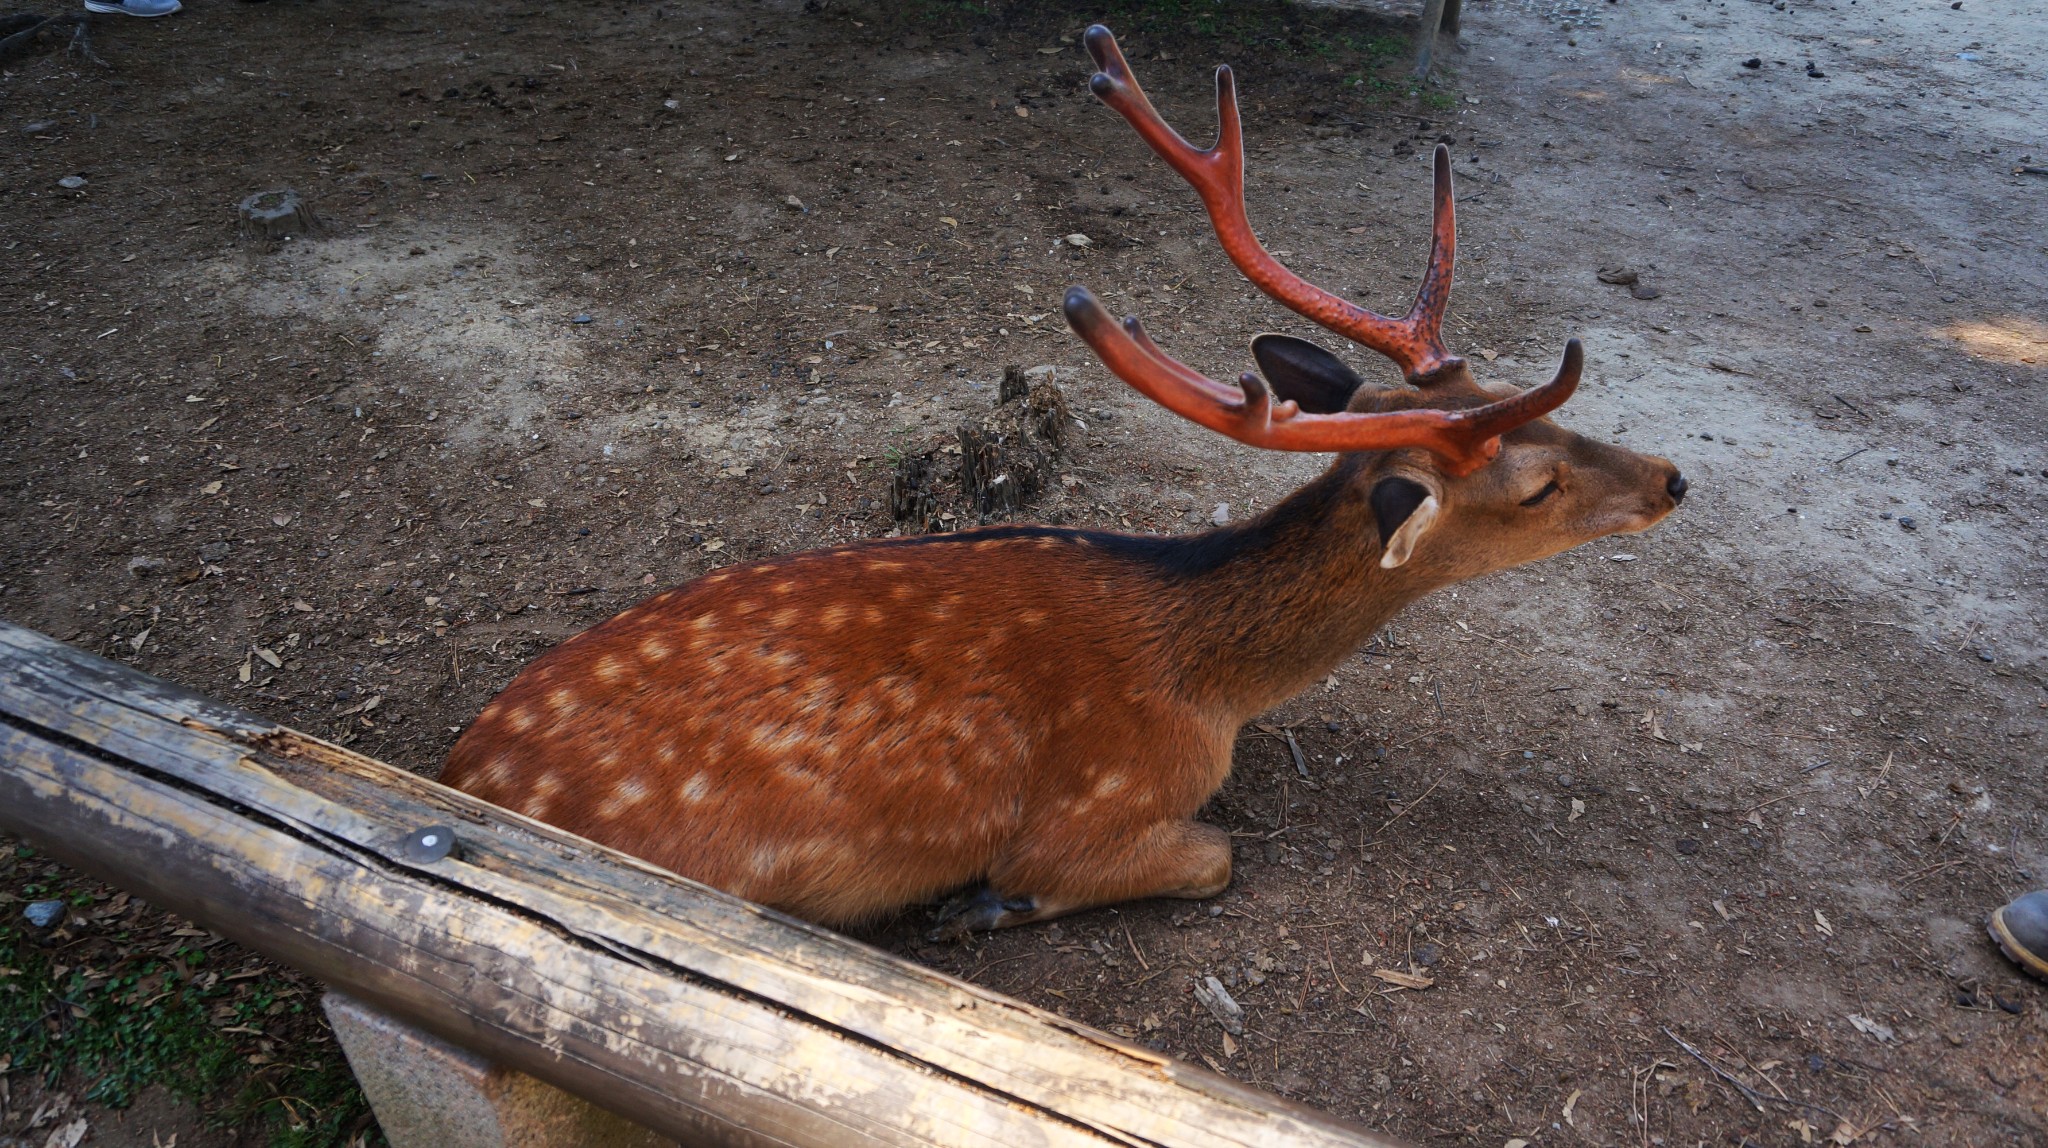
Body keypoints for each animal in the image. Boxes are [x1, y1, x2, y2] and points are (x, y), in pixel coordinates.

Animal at [444, 26, 1679, 937]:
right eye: (1533, 489)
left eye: (1531, 387)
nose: (1670, 478)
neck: (1209, 683)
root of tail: (463, 770)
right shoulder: (1103, 801)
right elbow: (1213, 855)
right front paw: (984, 904)